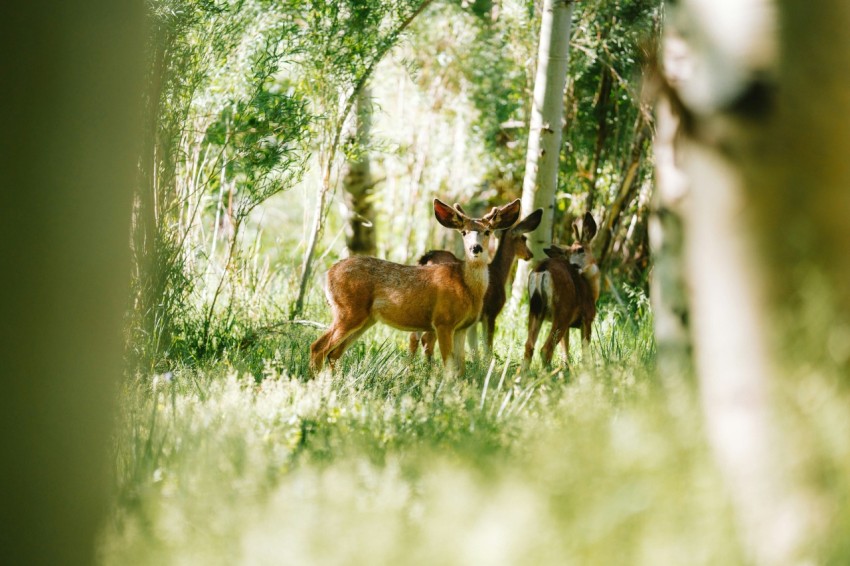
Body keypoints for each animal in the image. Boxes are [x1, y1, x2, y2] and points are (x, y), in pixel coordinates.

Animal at [310, 198, 522, 375]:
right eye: (464, 232)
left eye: (488, 231)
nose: (475, 248)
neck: (468, 288)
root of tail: (328, 274)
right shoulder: (443, 321)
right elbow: (449, 366)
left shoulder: (462, 327)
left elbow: (461, 369)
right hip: (348, 310)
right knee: (318, 347)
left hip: (366, 319)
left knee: (333, 353)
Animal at [409, 208, 543, 360]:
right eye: (524, 238)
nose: (530, 254)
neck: (499, 273)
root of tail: (426, 258)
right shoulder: (491, 312)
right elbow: (487, 346)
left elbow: (474, 348)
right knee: (427, 339)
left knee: (414, 337)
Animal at [522, 212, 600, 369]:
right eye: (568, 254)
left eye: (581, 249)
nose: (573, 265)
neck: (591, 289)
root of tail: (542, 269)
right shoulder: (586, 318)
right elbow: (585, 352)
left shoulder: (570, 325)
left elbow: (565, 352)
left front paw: (567, 370)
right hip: (563, 310)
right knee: (545, 349)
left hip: (536, 310)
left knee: (529, 346)